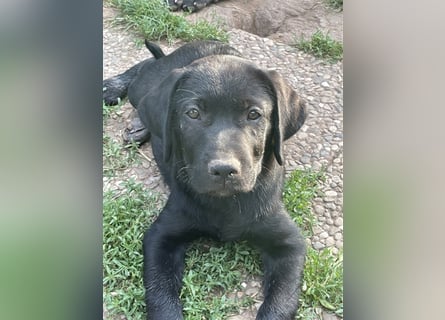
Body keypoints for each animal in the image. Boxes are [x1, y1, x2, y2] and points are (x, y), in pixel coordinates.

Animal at [103, 41, 306, 318]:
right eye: (193, 113)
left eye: (254, 114)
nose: (223, 170)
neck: (225, 203)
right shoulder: (161, 236)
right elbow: (160, 296)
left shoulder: (289, 243)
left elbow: (281, 303)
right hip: (143, 87)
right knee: (144, 71)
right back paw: (113, 89)